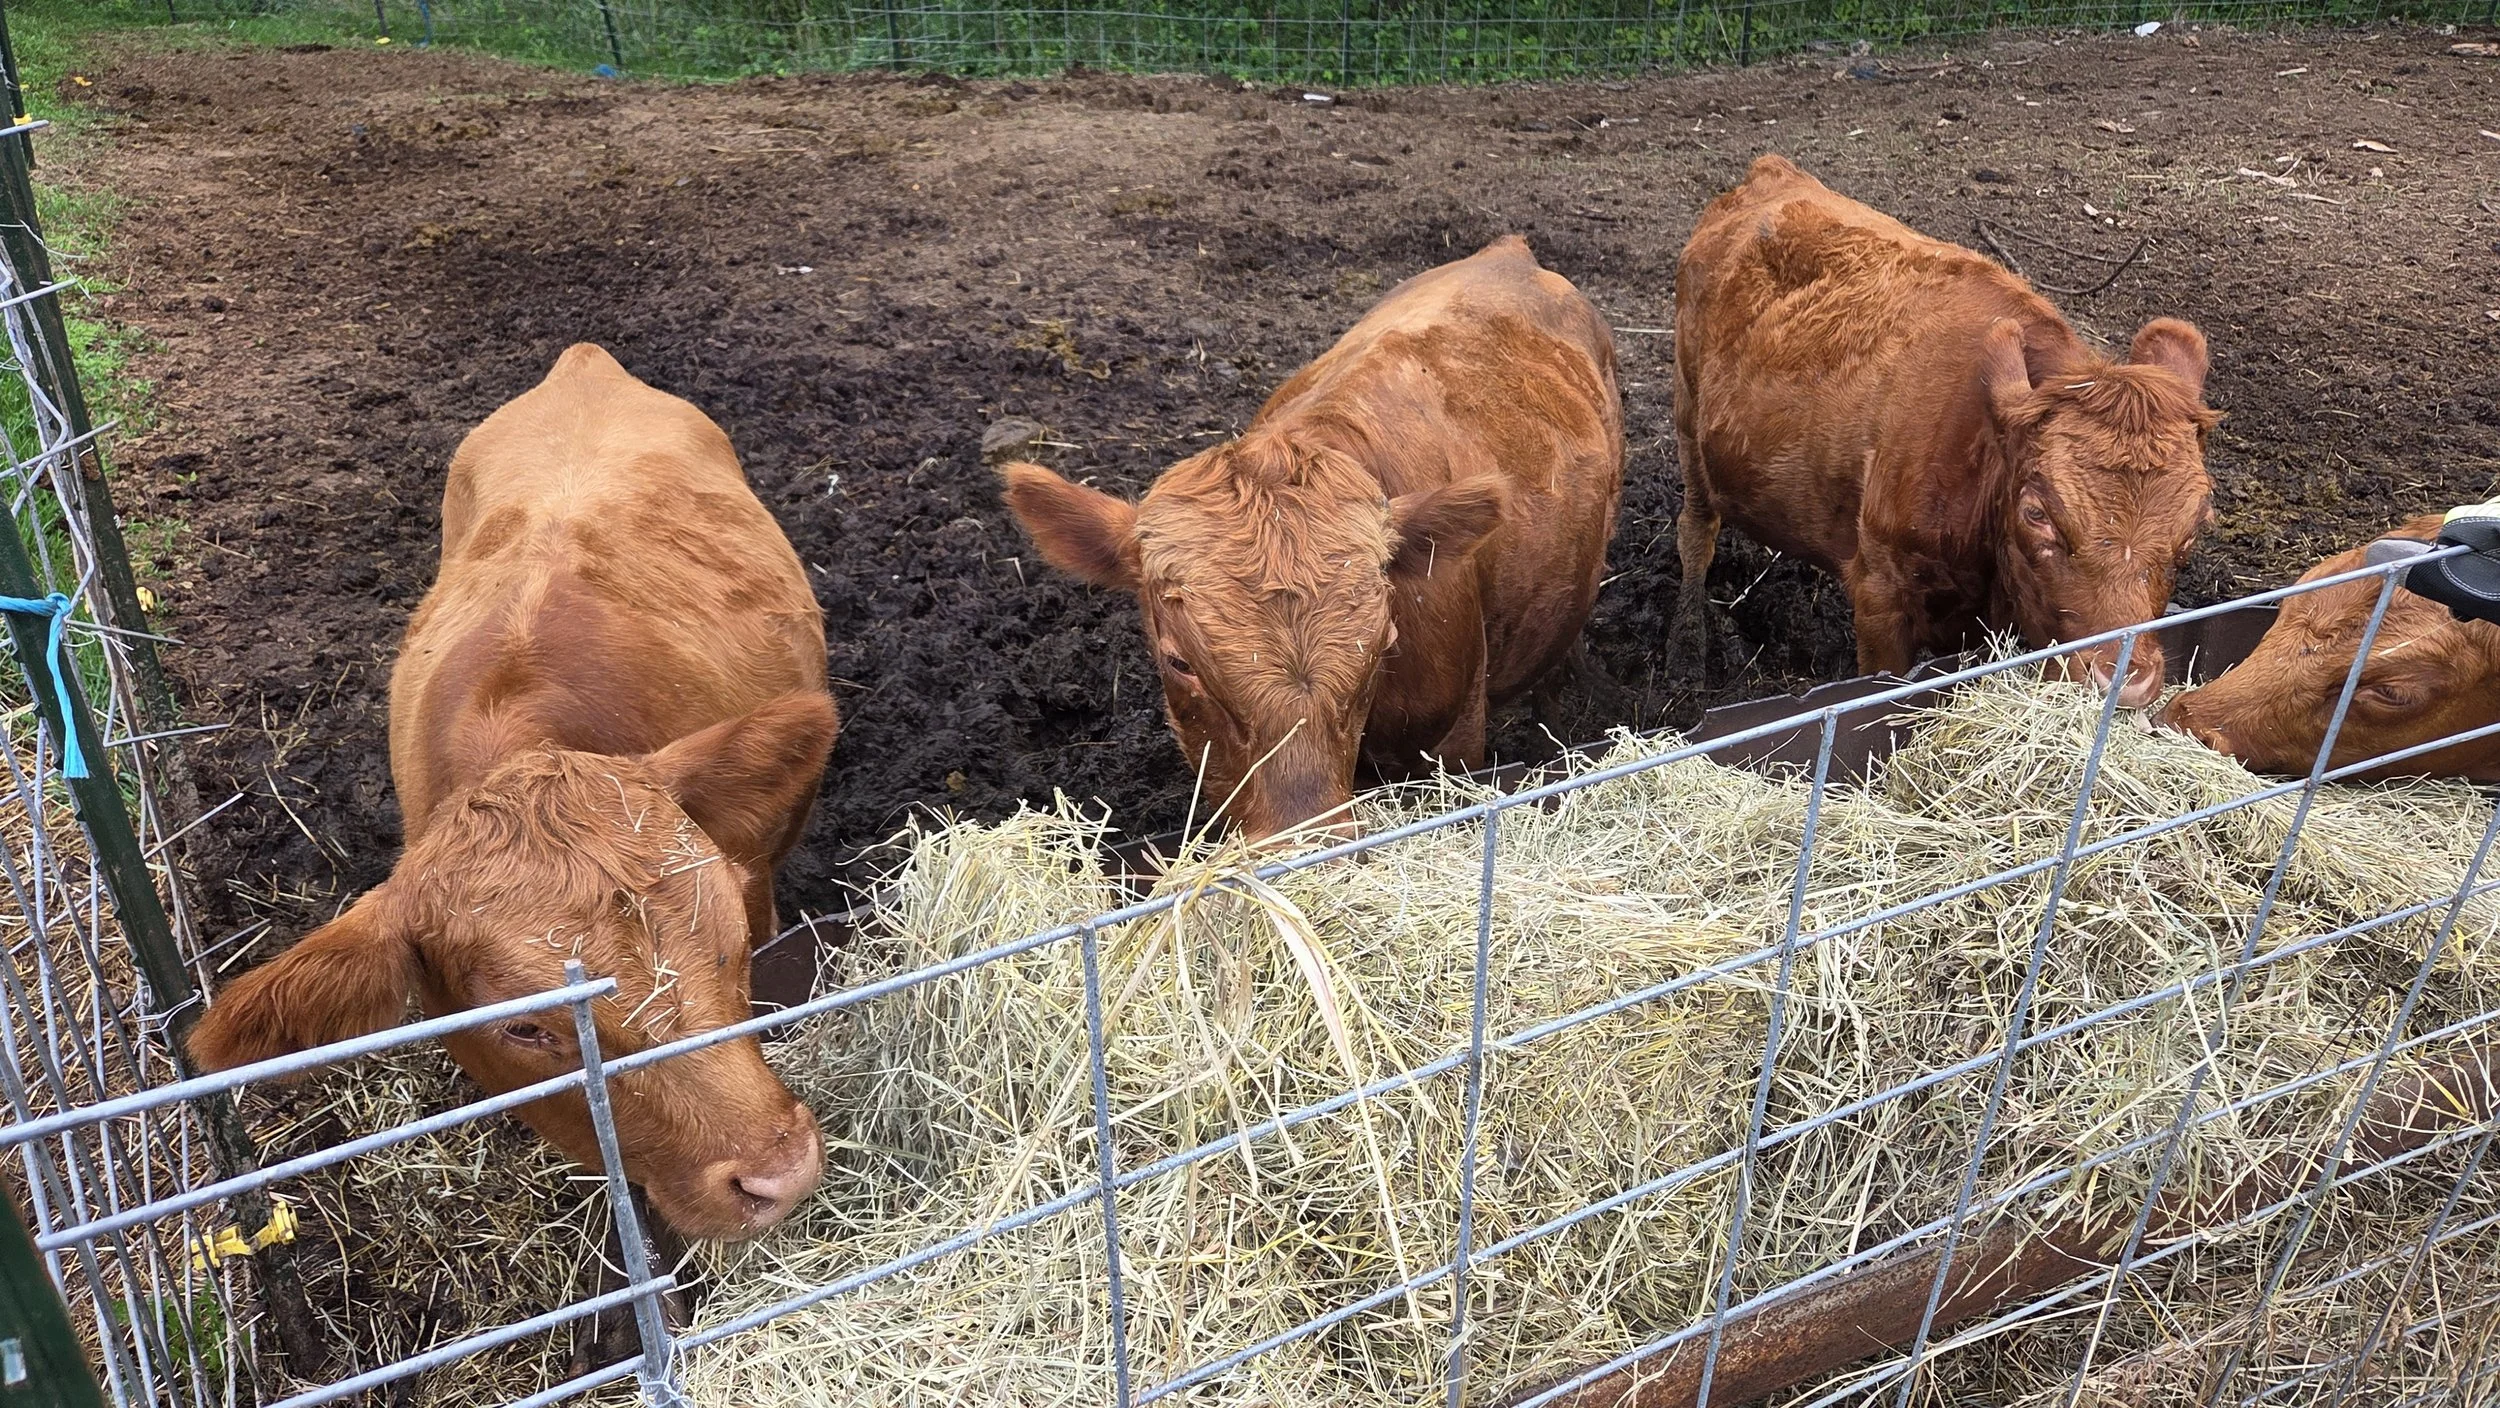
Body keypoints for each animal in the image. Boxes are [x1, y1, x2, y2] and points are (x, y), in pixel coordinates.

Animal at [1670, 154, 2220, 706]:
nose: (2123, 681)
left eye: (2195, 528)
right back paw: (1689, 653)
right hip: (1687, 414)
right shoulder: (1879, 594)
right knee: (1696, 530)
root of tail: (1775, 174)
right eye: (2036, 513)